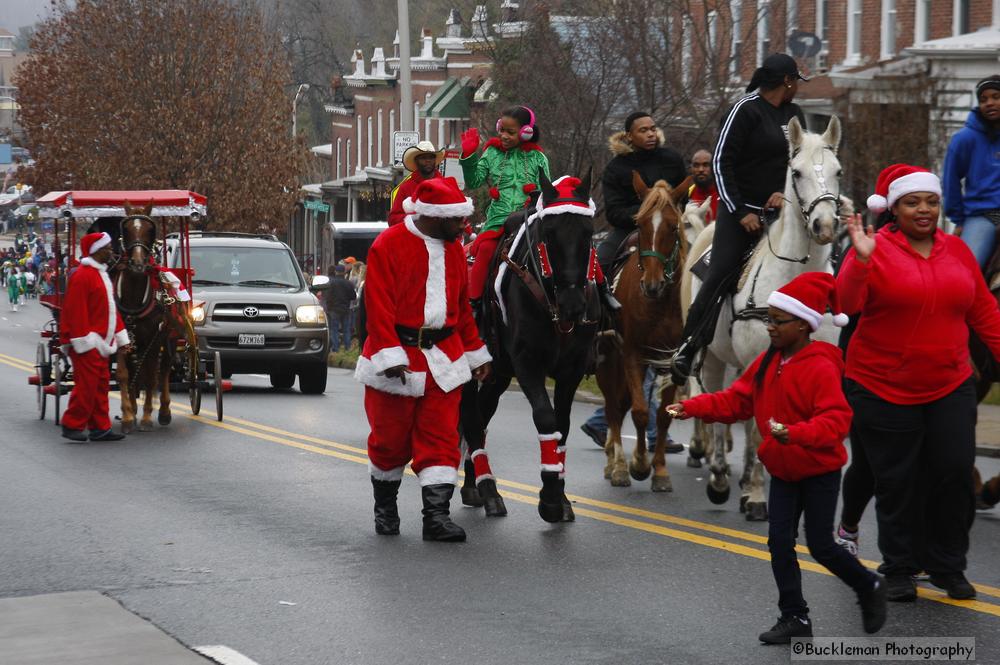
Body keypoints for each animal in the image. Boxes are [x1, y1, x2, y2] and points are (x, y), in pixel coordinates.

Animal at [114, 206, 198, 430]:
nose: (137, 263)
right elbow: (124, 375)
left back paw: (164, 411)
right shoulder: (121, 338)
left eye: (150, 229)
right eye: (126, 229)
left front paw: (146, 417)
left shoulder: (155, 338)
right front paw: (128, 416)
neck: (134, 300)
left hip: (169, 337)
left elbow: (153, 376)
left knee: (164, 370)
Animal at [460, 170, 600, 520]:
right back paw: (488, 489)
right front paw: (549, 498)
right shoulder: (528, 363)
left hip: (497, 373)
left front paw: (561, 498)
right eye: (549, 232)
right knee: (472, 418)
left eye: (589, 232)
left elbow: (563, 426)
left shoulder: (572, 369)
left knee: (482, 416)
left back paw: (473, 484)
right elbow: (546, 418)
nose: (573, 305)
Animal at [596, 174, 692, 490]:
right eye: (640, 225)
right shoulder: (632, 355)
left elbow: (662, 415)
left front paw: (659, 470)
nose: (652, 284)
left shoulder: (673, 361)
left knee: (622, 403)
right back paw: (616, 464)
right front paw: (637, 465)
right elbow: (639, 412)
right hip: (607, 359)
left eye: (673, 227)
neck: (660, 303)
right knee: (614, 407)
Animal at [680, 116, 844, 520]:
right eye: (796, 172)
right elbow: (755, 426)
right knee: (714, 404)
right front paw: (754, 496)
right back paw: (719, 478)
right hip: (713, 356)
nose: (824, 226)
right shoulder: (759, 358)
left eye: (838, 171)